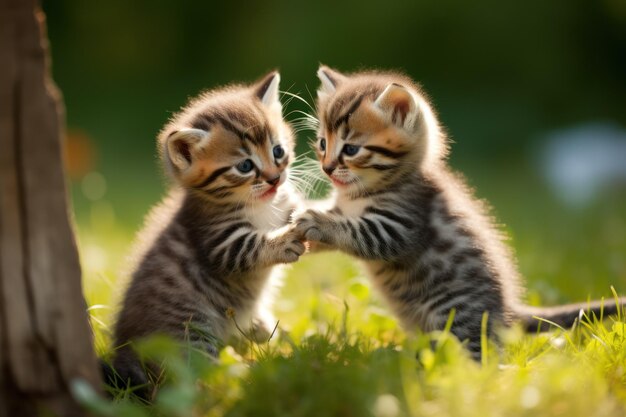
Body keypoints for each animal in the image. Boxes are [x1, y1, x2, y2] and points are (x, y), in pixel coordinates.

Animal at [108, 71, 304, 394]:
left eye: (278, 151)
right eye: (245, 166)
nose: (275, 179)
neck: (261, 205)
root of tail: (123, 352)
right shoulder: (216, 239)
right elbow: (249, 247)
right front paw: (284, 242)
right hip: (191, 333)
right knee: (192, 378)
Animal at [294, 66, 624, 360]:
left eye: (350, 149)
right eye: (322, 143)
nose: (326, 167)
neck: (366, 191)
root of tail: (506, 309)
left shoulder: (402, 224)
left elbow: (357, 232)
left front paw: (317, 223)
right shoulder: (344, 207)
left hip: (456, 313)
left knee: (480, 357)